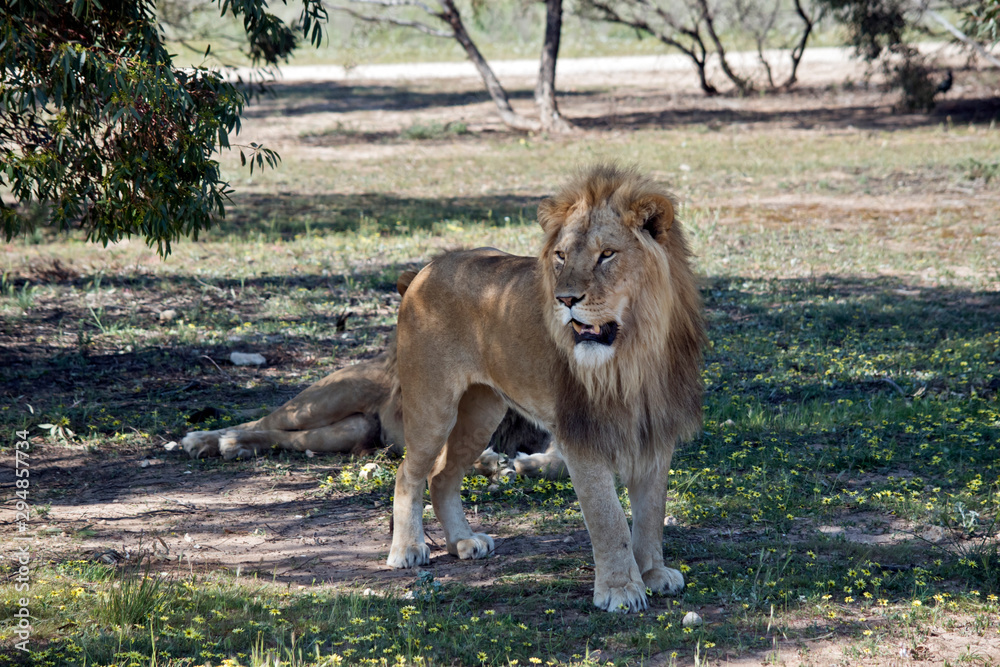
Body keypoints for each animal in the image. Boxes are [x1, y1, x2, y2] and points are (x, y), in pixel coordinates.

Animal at [386, 164, 705, 613]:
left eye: (607, 254)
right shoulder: (581, 434)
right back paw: (407, 549)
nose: (565, 299)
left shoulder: (656, 429)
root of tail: (427, 268)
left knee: (442, 475)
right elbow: (608, 519)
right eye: (561, 256)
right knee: (408, 473)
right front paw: (621, 589)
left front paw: (655, 573)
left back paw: (463, 542)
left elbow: (650, 514)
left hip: (481, 413)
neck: (633, 354)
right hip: (433, 407)